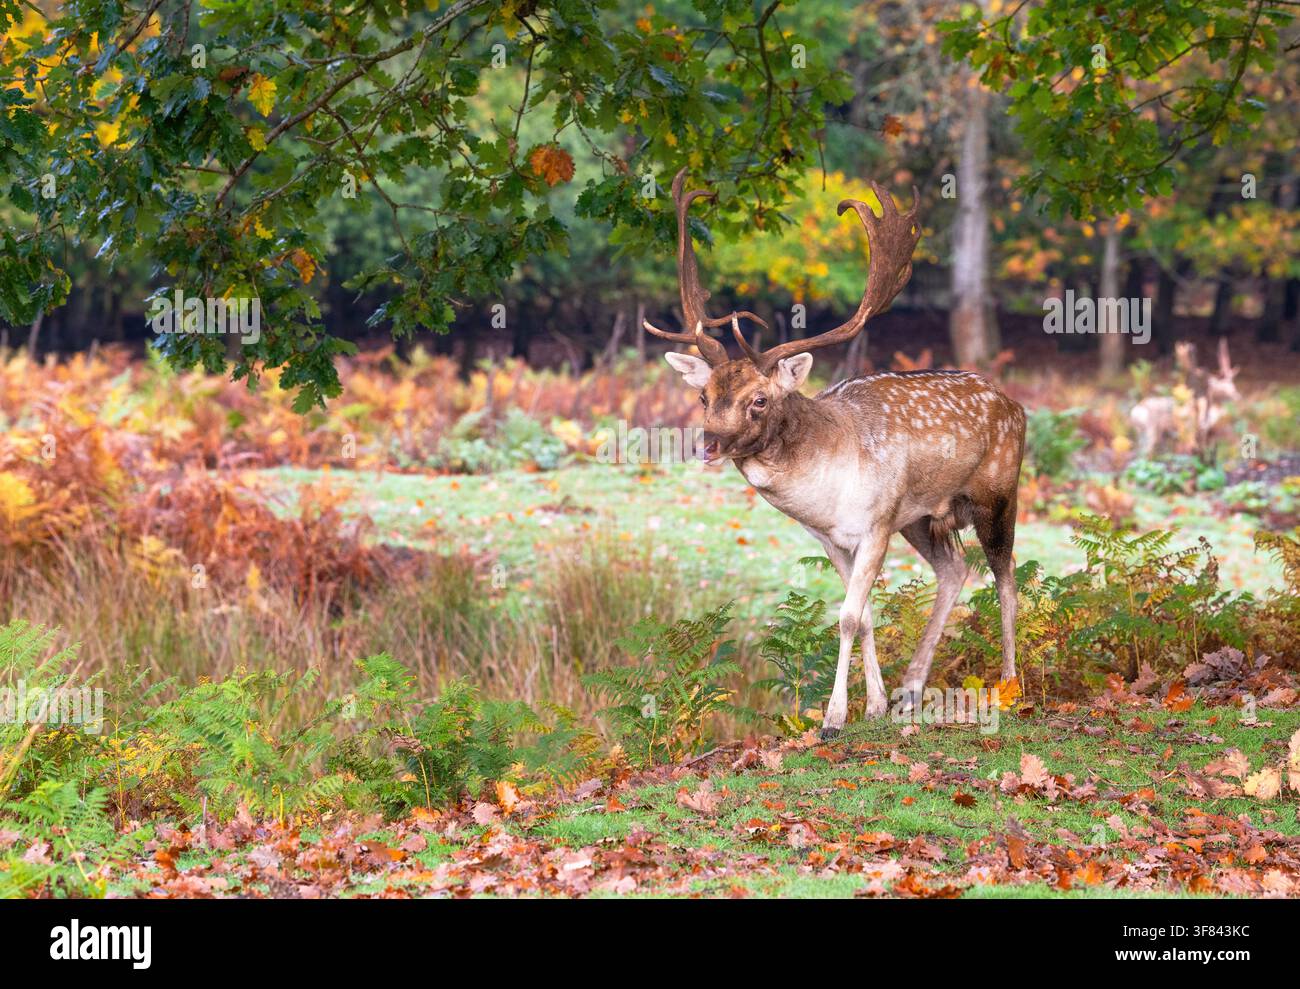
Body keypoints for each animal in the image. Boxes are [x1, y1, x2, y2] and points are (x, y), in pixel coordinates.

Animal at [647, 169, 1026, 738]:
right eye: (703, 396)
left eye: (760, 399)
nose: (709, 442)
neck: (828, 489)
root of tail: (1017, 404)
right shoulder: (832, 538)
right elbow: (863, 614)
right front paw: (873, 706)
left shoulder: (875, 524)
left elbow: (847, 616)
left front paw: (832, 718)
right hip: (922, 516)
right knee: (956, 570)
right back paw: (911, 690)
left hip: (998, 491)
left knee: (1005, 577)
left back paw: (1009, 686)